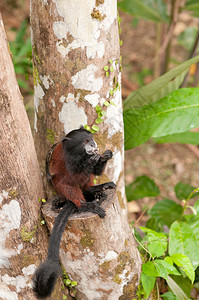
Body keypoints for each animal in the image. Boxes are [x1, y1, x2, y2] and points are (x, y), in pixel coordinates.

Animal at [33, 126, 116, 298]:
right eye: (85, 141)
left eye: (91, 139)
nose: (93, 144)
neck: (78, 155)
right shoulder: (64, 160)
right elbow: (71, 176)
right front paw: (92, 160)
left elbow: (94, 171)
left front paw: (103, 157)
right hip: (61, 190)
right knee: (66, 184)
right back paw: (84, 205)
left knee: (86, 181)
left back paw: (93, 189)